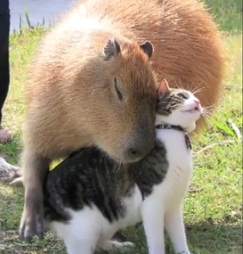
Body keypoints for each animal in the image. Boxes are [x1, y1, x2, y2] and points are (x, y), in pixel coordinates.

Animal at [43, 78, 203, 253]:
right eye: (183, 96)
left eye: (195, 97)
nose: (198, 102)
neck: (174, 134)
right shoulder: (152, 204)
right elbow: (157, 242)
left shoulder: (173, 205)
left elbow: (179, 237)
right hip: (83, 232)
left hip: (111, 220)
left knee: (100, 241)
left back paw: (119, 246)